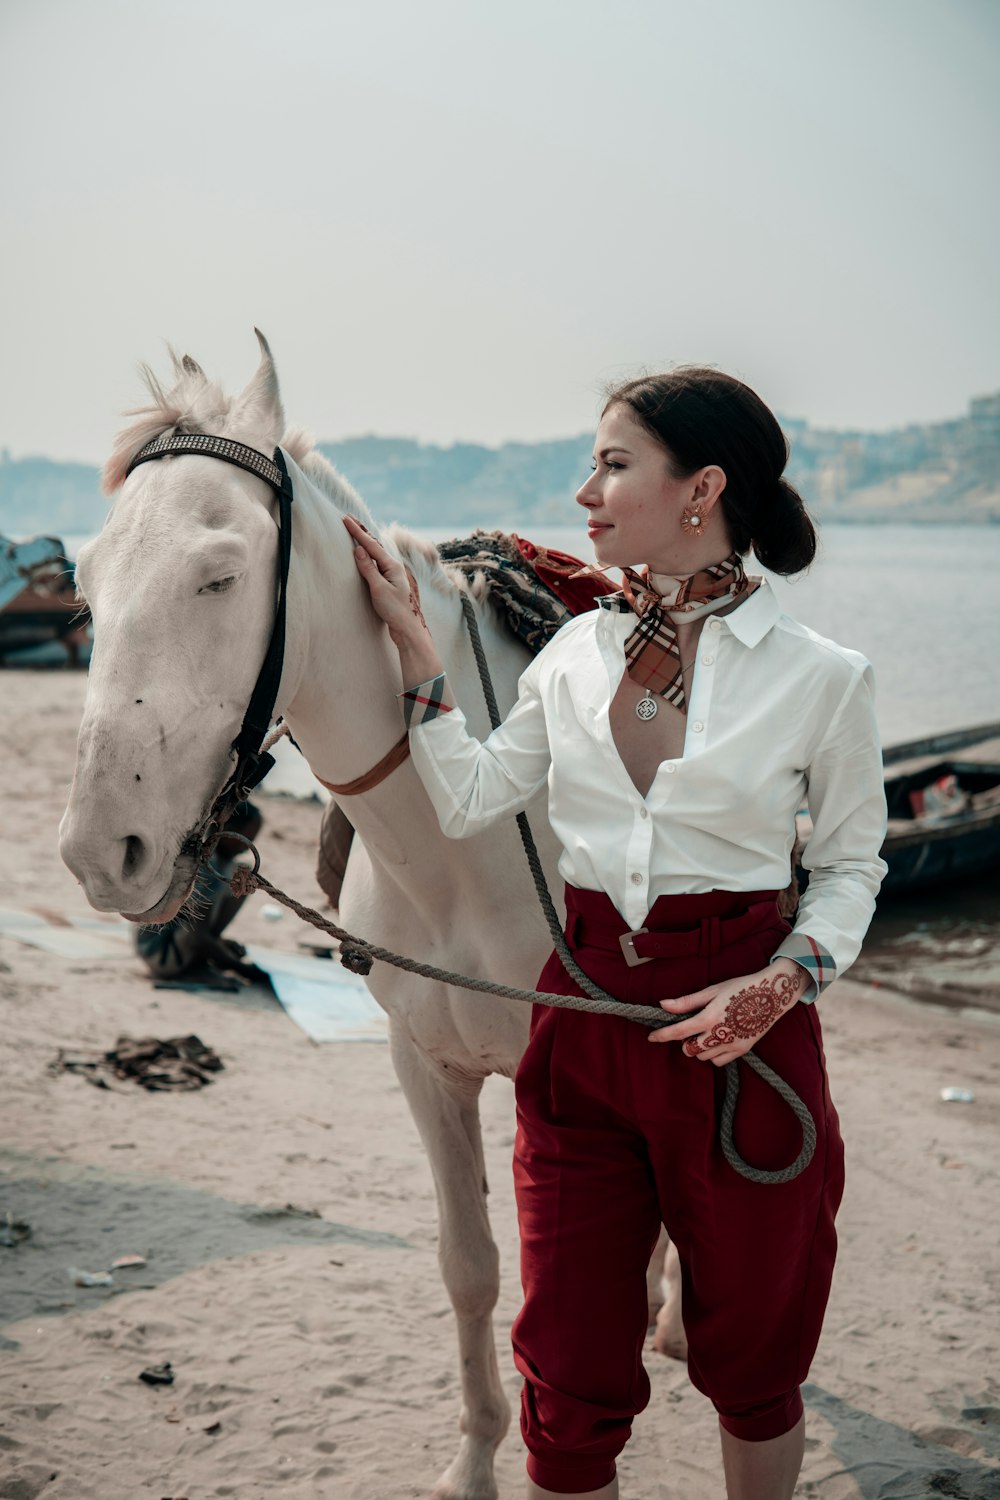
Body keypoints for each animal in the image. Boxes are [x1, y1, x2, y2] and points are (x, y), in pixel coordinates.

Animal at [58, 337, 677, 1500]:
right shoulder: (422, 1065)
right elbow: (471, 1268)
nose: (99, 850)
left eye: (220, 575)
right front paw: (476, 1462)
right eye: (86, 582)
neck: (476, 820)